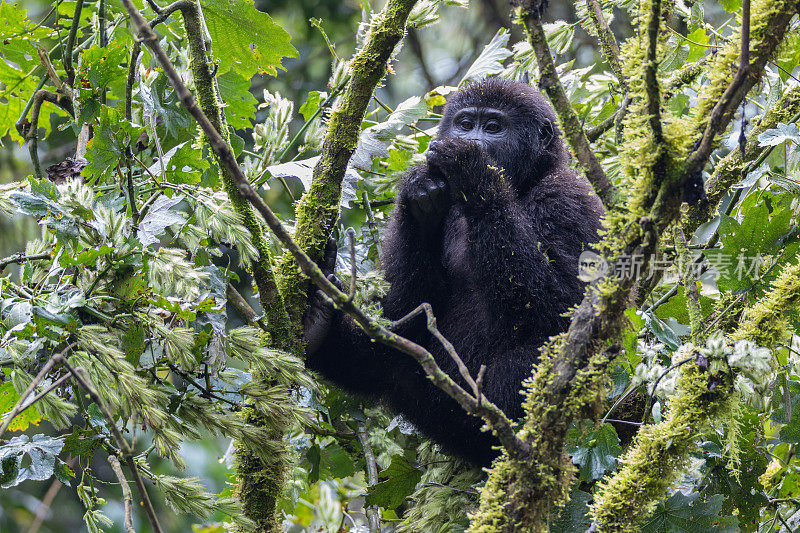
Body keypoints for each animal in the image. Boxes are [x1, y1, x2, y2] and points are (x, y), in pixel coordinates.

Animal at [304, 76, 604, 466]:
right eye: (464, 124)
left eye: (493, 128)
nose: (472, 140)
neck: (527, 181)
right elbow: (406, 309)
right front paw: (420, 194)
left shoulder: (569, 200)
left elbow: (560, 311)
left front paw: (474, 172)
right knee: (392, 352)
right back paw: (318, 323)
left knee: (537, 358)